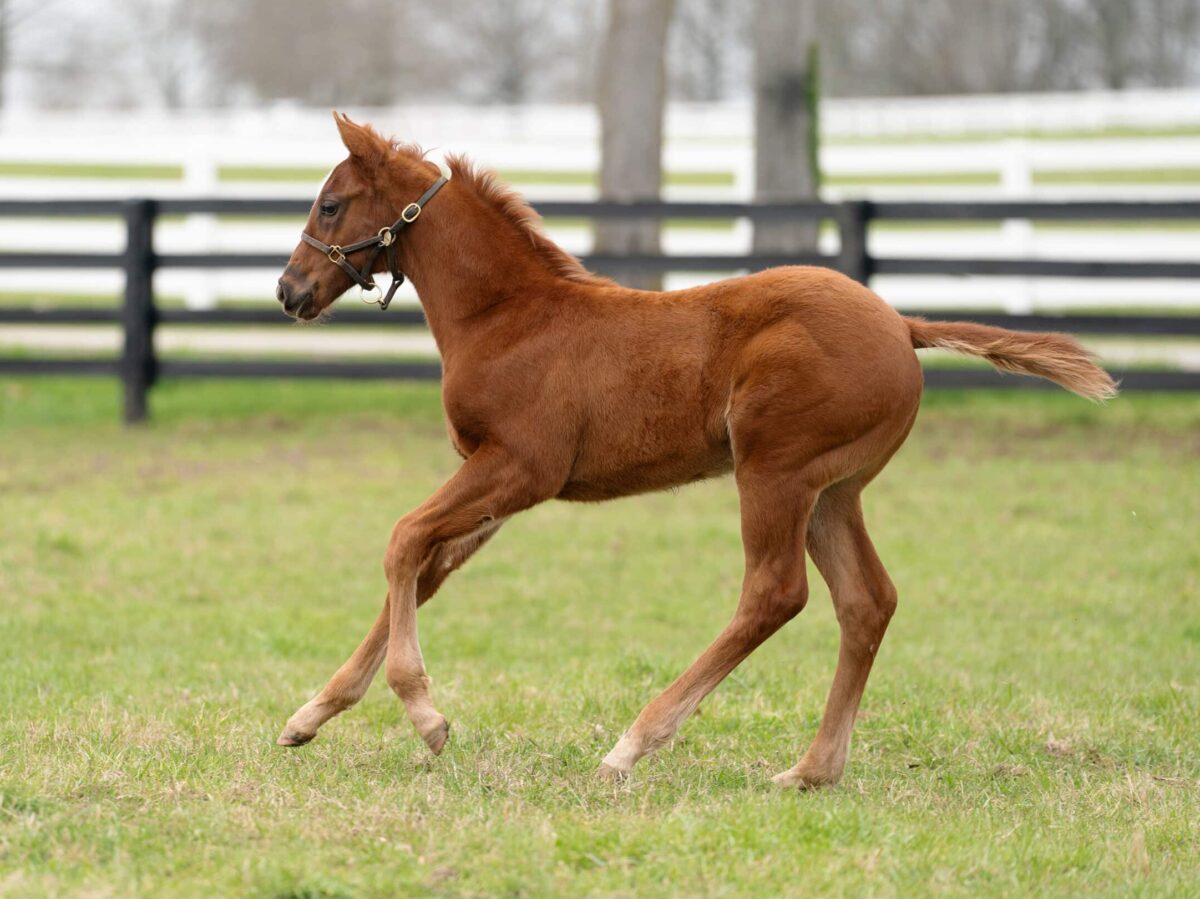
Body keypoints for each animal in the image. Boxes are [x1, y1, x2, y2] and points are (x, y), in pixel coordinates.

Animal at [274, 114, 1113, 787]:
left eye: (331, 203)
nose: (289, 290)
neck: (509, 316)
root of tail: (902, 324)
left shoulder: (520, 467)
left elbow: (403, 539)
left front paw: (426, 715)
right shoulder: (491, 482)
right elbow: (425, 568)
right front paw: (311, 714)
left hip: (775, 470)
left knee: (775, 593)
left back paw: (631, 746)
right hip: (833, 489)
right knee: (866, 600)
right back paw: (811, 770)